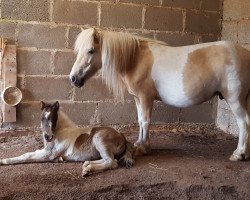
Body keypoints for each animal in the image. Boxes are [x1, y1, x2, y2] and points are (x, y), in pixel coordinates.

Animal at [0, 101, 135, 177]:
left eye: (52, 118)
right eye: (42, 118)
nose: (47, 137)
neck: (59, 132)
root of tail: (122, 136)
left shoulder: (49, 154)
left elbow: (26, 156)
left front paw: (3, 161)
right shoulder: (46, 151)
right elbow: (27, 153)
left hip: (99, 139)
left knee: (112, 162)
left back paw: (88, 169)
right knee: (106, 159)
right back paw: (86, 167)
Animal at [69, 27, 250, 162]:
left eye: (91, 50)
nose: (73, 78)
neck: (136, 59)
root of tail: (244, 53)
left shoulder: (145, 97)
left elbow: (146, 121)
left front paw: (143, 148)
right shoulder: (138, 98)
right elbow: (140, 120)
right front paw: (139, 143)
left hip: (235, 100)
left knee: (244, 123)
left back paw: (238, 154)